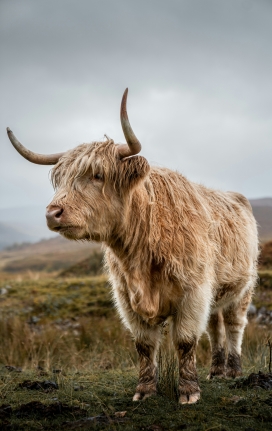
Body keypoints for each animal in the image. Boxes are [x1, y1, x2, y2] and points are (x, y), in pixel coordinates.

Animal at [5, 88, 258, 404]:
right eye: (60, 178)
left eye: (98, 175)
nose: (53, 213)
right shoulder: (127, 299)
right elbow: (144, 345)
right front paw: (145, 390)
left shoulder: (194, 292)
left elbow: (185, 341)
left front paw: (188, 392)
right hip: (216, 296)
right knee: (215, 328)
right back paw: (216, 371)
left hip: (243, 289)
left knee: (234, 326)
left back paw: (234, 371)